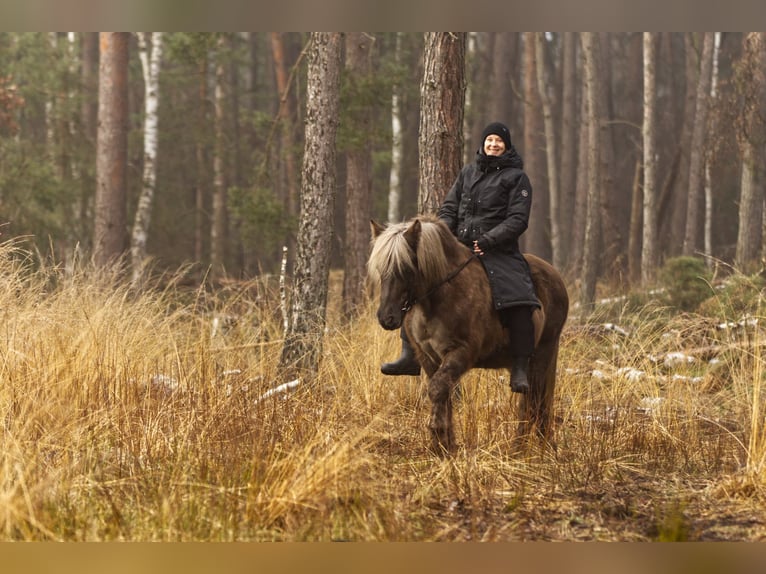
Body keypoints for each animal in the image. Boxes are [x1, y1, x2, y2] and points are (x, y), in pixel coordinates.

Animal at [366, 214, 568, 456]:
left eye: (406, 268)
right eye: (380, 269)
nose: (387, 318)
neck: (439, 298)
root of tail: (556, 277)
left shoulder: (461, 353)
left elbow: (437, 389)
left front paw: (439, 435)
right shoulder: (429, 357)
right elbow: (443, 392)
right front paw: (444, 445)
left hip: (542, 353)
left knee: (533, 400)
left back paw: (522, 448)